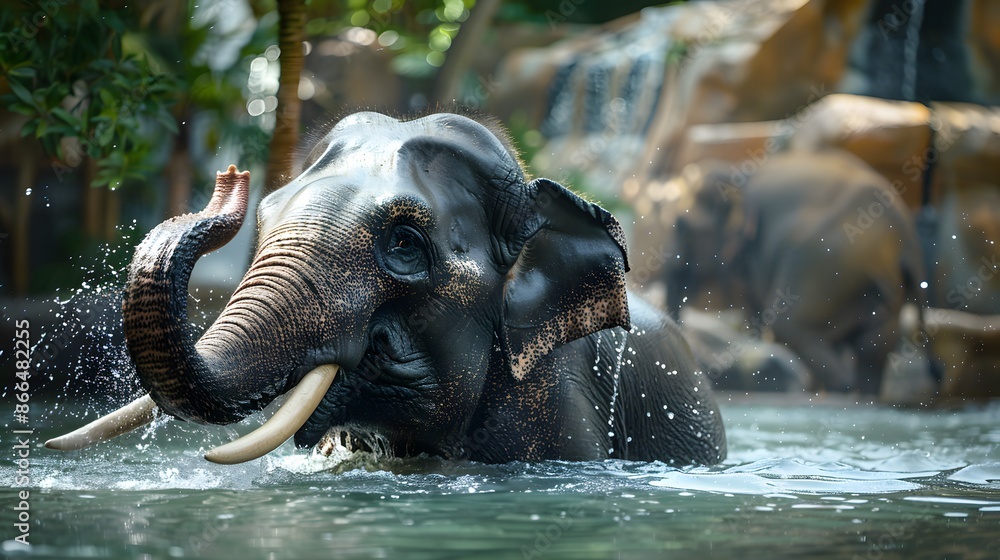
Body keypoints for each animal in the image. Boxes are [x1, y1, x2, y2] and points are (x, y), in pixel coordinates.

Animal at [665, 150, 931, 395]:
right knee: (873, 345)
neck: (735, 171)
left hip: (824, 260)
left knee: (788, 324)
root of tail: (906, 231)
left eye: (681, 226)